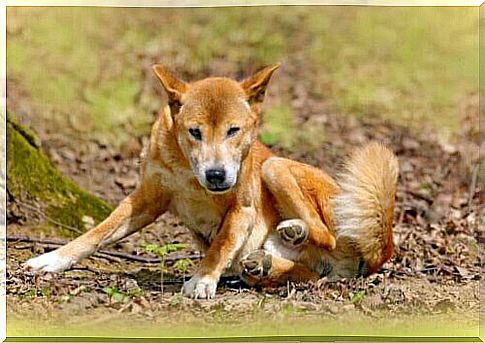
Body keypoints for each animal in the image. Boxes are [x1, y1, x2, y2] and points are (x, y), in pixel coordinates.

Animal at [24, 63, 398, 298]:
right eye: (195, 132)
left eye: (233, 130)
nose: (216, 174)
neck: (188, 173)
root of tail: (381, 247)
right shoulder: (145, 200)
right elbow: (97, 233)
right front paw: (52, 260)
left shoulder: (242, 210)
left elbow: (220, 244)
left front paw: (202, 279)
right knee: (308, 271)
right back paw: (267, 262)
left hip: (274, 166)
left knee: (325, 236)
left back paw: (293, 232)